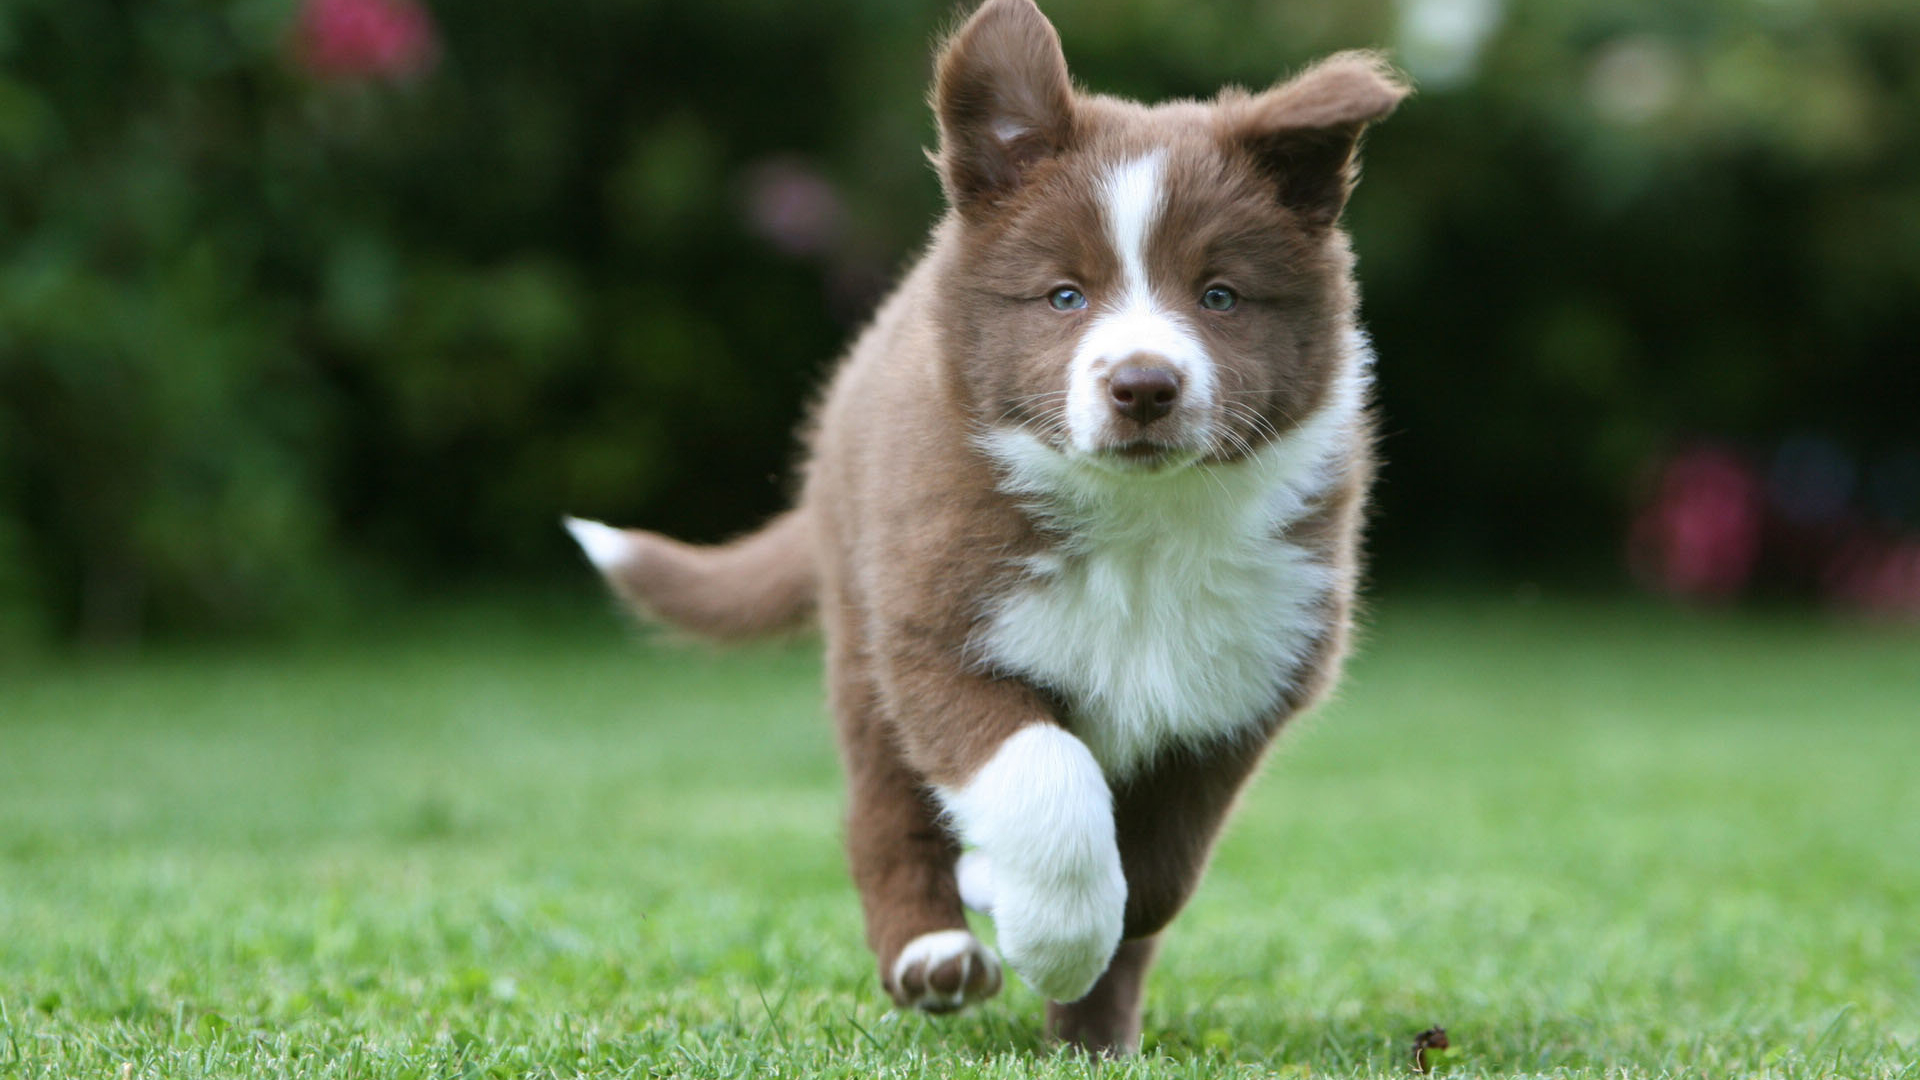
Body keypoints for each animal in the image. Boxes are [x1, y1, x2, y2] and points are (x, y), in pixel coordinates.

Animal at [567, 0, 1403, 1054]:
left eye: (1220, 296)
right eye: (1064, 296)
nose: (1144, 386)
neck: (1140, 525)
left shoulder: (1245, 680)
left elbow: (1156, 873)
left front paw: (1065, 947)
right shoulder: (937, 626)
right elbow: (1045, 778)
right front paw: (1051, 930)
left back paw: (1089, 1034)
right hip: (861, 631)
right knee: (883, 811)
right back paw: (933, 952)